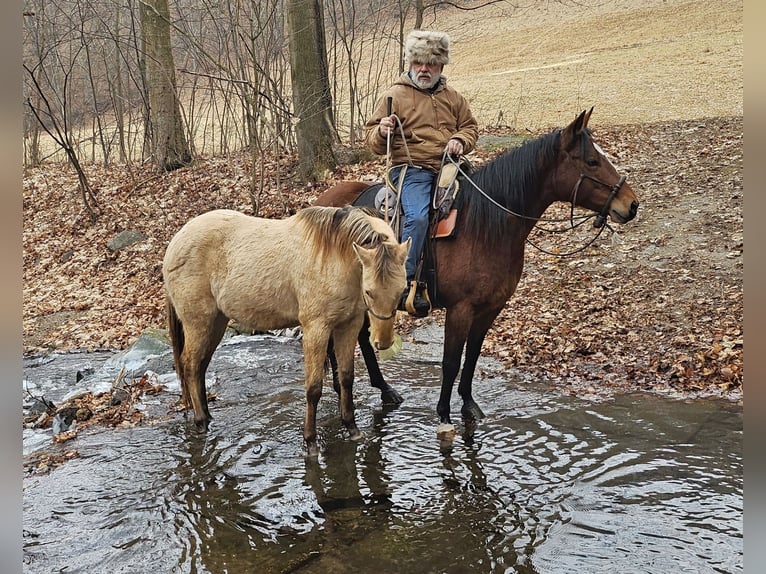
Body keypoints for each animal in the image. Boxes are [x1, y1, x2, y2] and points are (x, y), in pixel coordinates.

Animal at [162, 205, 410, 456]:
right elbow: (313, 388)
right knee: (190, 365)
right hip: (198, 323)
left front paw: (352, 428)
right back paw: (201, 422)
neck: (334, 257)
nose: (383, 342)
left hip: (216, 322)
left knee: (200, 367)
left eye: (402, 290)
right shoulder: (316, 328)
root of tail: (175, 243)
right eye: (369, 292)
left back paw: (207, 416)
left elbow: (346, 379)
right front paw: (310, 442)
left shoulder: (348, 326)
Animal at [314, 109, 639, 439]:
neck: (485, 224)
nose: (631, 204)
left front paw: (469, 405)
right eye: (592, 161)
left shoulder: (490, 307)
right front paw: (444, 416)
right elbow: (450, 362)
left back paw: (380, 389)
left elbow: (471, 357)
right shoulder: (461, 308)